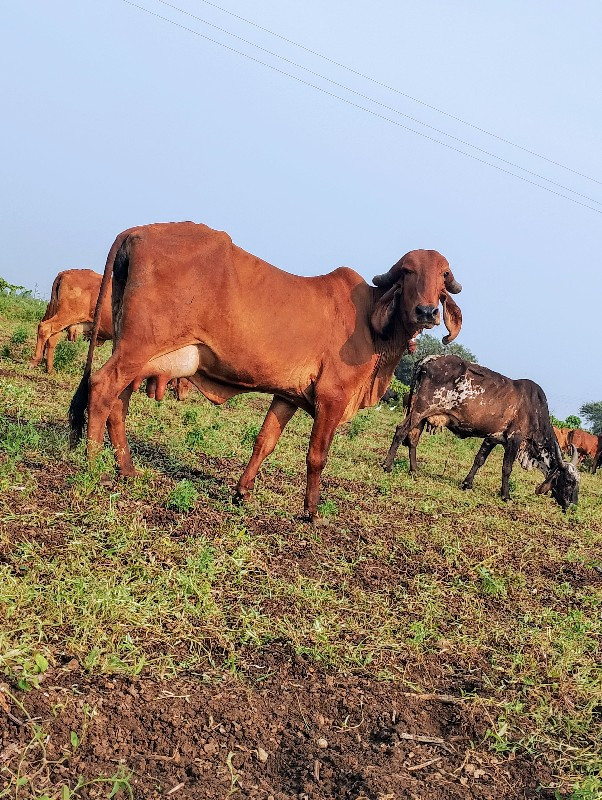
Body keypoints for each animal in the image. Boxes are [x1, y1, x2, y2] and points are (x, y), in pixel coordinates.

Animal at [70, 220, 462, 520]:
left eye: (443, 275)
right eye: (408, 272)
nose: (427, 312)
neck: (371, 325)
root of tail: (137, 231)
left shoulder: (288, 396)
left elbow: (264, 442)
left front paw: (242, 492)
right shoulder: (331, 398)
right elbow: (317, 456)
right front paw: (311, 511)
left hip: (135, 349)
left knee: (118, 401)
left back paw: (127, 469)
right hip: (139, 346)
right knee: (102, 386)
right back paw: (92, 463)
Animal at [382, 356, 580, 512]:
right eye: (569, 480)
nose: (573, 506)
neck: (535, 410)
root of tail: (429, 359)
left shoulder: (492, 438)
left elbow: (479, 460)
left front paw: (467, 484)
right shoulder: (514, 439)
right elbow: (506, 468)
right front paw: (506, 495)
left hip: (421, 416)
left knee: (413, 440)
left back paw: (414, 470)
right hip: (421, 409)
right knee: (401, 431)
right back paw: (387, 465)